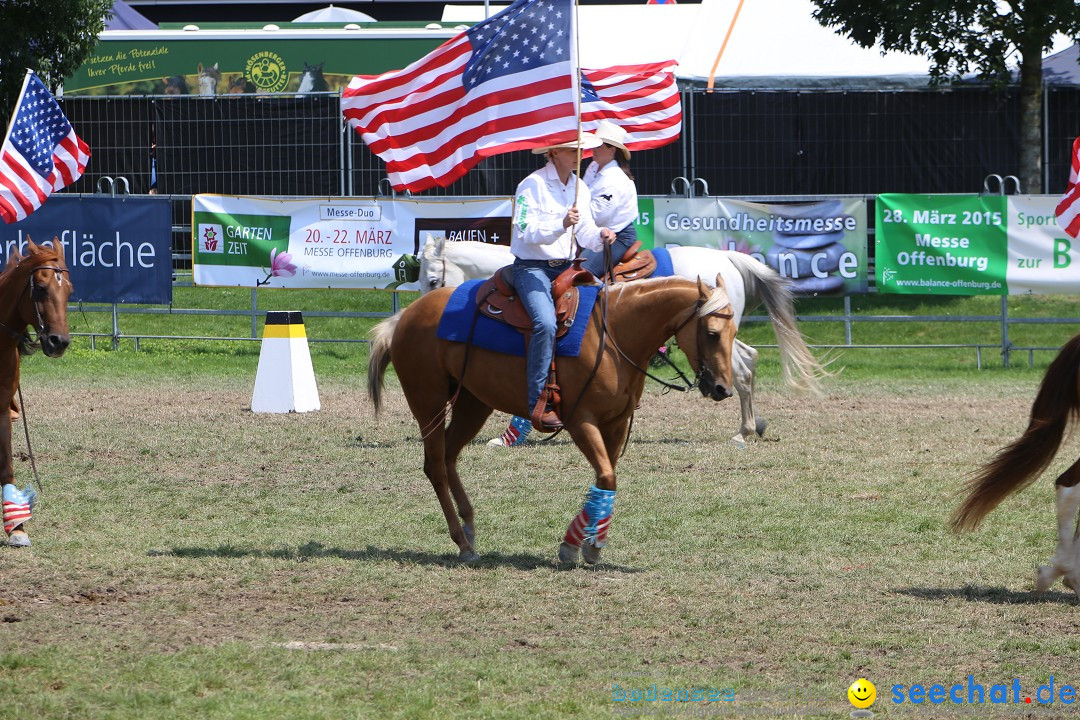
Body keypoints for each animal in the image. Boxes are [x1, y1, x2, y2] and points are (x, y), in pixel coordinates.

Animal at [367, 276, 738, 561]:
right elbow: (606, 477)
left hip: (473, 403)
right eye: (712, 333)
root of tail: (405, 316)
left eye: (734, 332)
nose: (723, 388)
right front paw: (578, 545)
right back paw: (462, 542)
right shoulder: (580, 421)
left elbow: (606, 477)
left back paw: (470, 528)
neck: (615, 334)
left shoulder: (615, 424)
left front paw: (585, 544)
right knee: (436, 467)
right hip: (427, 402)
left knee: (448, 456)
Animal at [414, 239, 825, 446]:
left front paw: (513, 434)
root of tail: (726, 256)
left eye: (433, 279)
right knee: (748, 360)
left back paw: (743, 432)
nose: (425, 312)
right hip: (724, 333)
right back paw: (754, 425)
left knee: (739, 369)